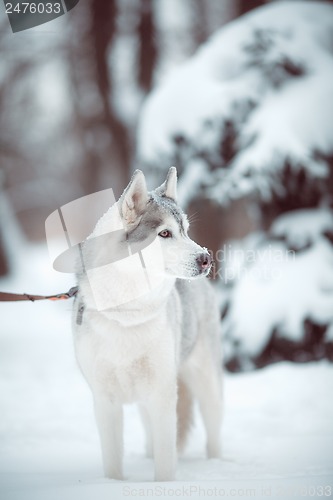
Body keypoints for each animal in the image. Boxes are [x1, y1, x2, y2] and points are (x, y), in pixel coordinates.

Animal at [71, 167, 222, 480]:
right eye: (164, 233)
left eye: (185, 230)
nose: (206, 259)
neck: (128, 313)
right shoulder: (105, 401)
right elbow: (113, 463)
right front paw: (112, 484)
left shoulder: (162, 394)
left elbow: (166, 461)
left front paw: (164, 485)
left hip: (206, 383)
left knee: (213, 431)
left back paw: (219, 464)